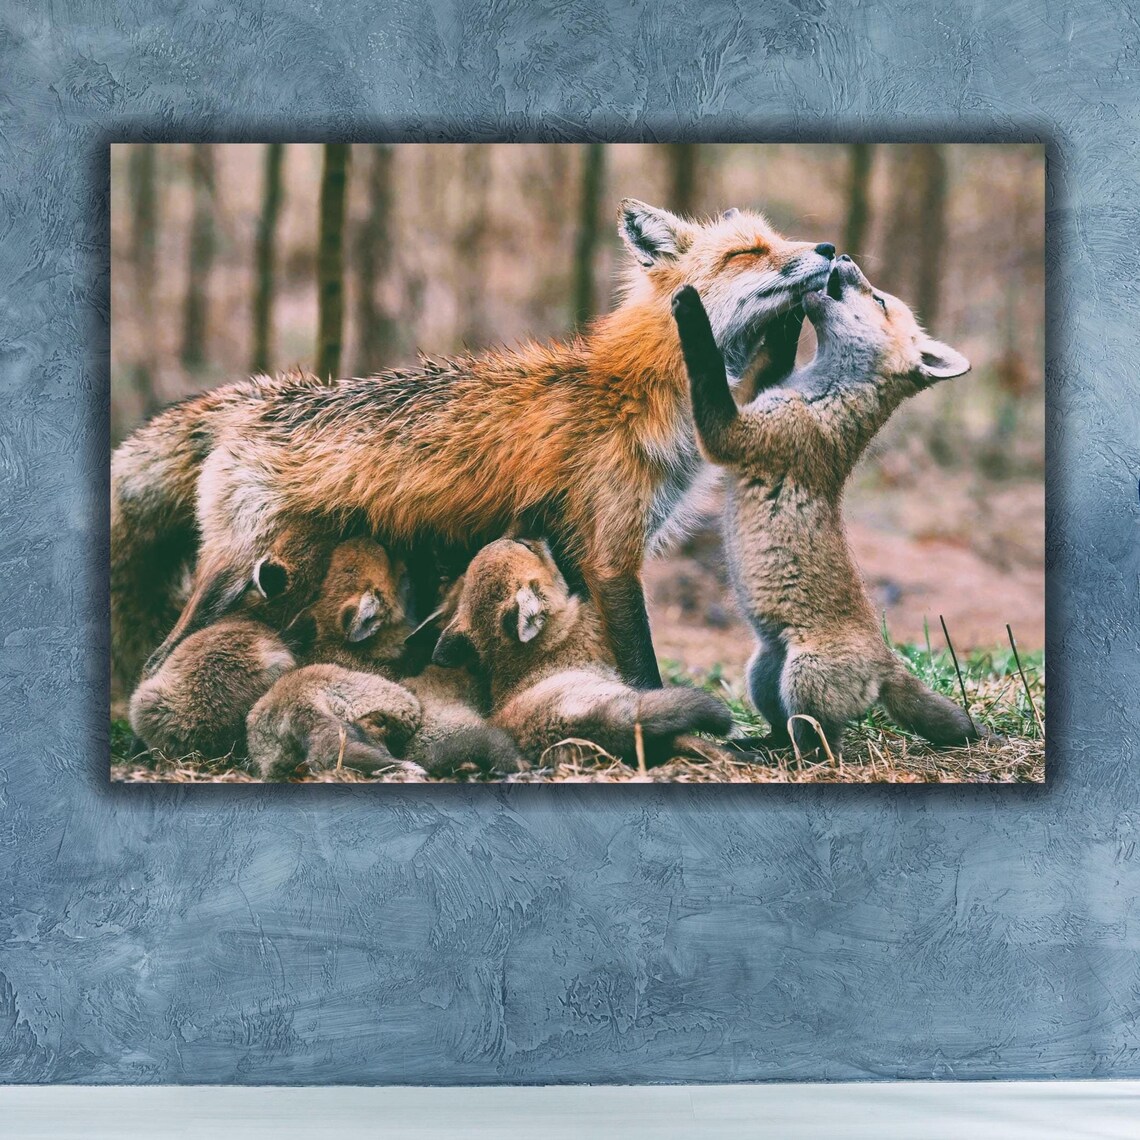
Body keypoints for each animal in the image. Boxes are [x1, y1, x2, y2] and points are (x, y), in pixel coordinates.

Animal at [111, 201, 836, 693]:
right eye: (747, 253)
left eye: (777, 241)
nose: (830, 248)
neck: (640, 387)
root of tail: (257, 395)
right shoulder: (610, 554)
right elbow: (642, 664)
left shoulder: (574, 552)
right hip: (232, 571)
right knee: (158, 656)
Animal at [670, 257, 984, 760]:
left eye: (879, 300)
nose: (846, 259)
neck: (819, 396)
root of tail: (886, 661)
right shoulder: (756, 396)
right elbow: (766, 361)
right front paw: (786, 314)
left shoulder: (737, 433)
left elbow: (708, 371)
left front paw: (692, 309)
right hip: (764, 671)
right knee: (782, 729)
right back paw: (756, 746)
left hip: (803, 679)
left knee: (820, 748)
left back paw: (778, 758)